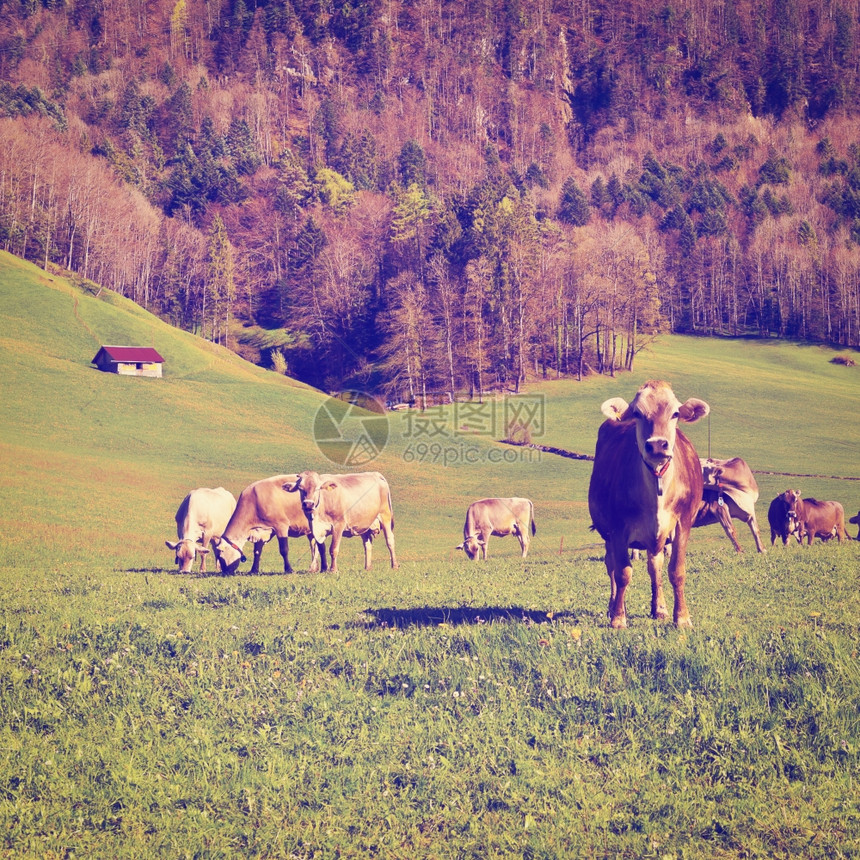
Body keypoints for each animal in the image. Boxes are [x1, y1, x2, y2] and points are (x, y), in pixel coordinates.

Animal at [588, 380, 708, 628]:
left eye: (675, 413)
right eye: (637, 413)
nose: (657, 445)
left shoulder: (683, 523)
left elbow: (676, 571)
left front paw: (681, 617)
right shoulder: (617, 529)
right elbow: (623, 573)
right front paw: (618, 618)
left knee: (655, 566)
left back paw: (659, 608)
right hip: (607, 533)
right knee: (611, 565)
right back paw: (613, 606)